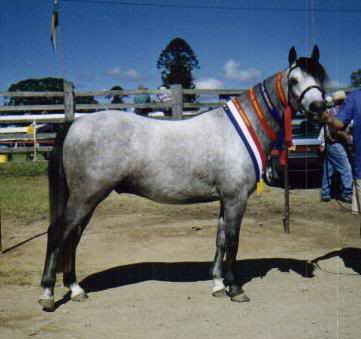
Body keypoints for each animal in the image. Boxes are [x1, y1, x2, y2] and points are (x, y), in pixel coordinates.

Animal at [38, 46, 326, 312]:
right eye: (293, 80)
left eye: (321, 77)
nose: (319, 107)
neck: (240, 130)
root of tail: (75, 124)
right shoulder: (236, 199)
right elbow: (233, 241)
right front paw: (235, 289)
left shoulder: (225, 199)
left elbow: (221, 239)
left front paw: (218, 284)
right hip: (86, 197)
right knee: (59, 232)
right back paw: (48, 294)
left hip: (86, 199)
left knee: (72, 237)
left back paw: (75, 289)